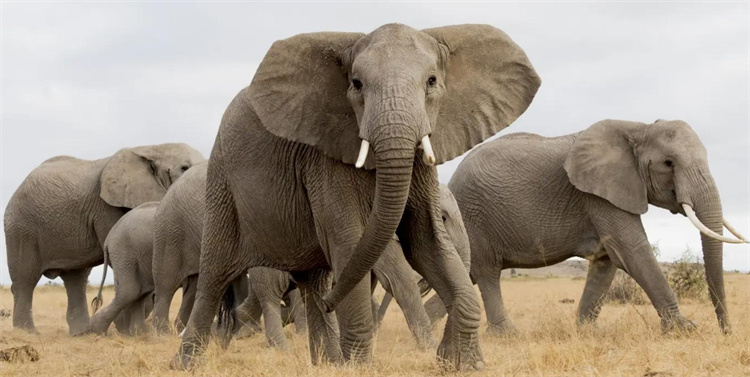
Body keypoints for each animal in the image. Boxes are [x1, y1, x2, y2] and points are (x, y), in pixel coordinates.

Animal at [90, 201, 162, 334]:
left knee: (139, 291)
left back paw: (140, 333)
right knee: (130, 291)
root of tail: (108, 239)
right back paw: (96, 329)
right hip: (124, 253)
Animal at [175, 21, 540, 370]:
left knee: (315, 282)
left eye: (432, 81)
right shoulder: (324, 160)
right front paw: (358, 366)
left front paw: (461, 362)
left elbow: (427, 241)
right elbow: (351, 242)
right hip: (222, 183)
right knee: (214, 275)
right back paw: (186, 364)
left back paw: (325, 359)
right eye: (357, 84)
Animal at [444, 119, 748, 334]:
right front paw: (685, 329)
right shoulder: (598, 194)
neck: (638, 128)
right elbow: (631, 249)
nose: (726, 332)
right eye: (668, 163)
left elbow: (607, 258)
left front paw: (587, 332)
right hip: (473, 215)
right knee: (487, 274)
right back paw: (506, 335)